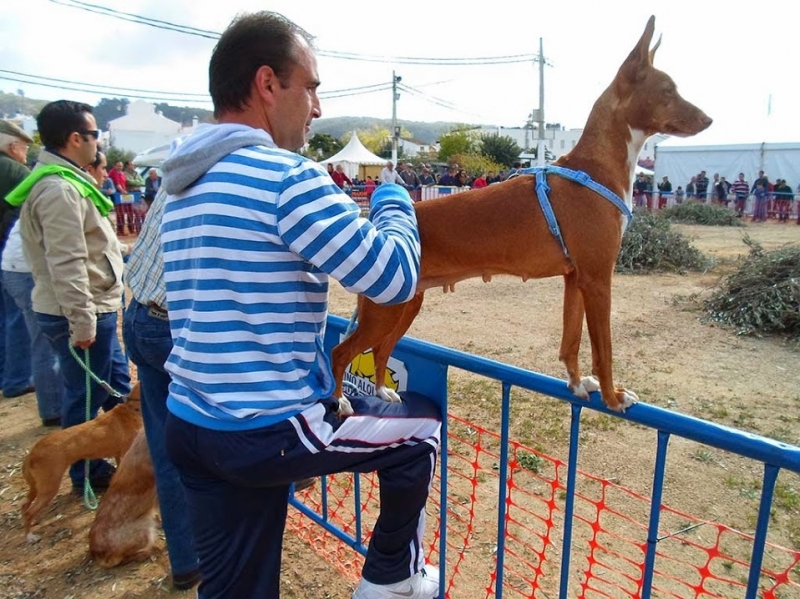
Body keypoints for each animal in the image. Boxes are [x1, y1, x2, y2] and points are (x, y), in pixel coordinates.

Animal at [21, 384, 143, 540]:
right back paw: (30, 536)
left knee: (25, 506)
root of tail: (32, 454)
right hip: (49, 487)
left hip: (37, 488)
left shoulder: (118, 455)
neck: (132, 409)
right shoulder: (127, 453)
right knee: (29, 511)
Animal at [332, 16, 712, 414]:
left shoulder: (576, 279)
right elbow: (604, 351)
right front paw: (612, 396)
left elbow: (571, 342)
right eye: (668, 90)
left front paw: (578, 384)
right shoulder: (597, 279)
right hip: (385, 311)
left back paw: (382, 392)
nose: (709, 119)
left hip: (405, 306)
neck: (594, 168)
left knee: (381, 350)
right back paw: (341, 401)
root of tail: (376, 226)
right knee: (341, 352)